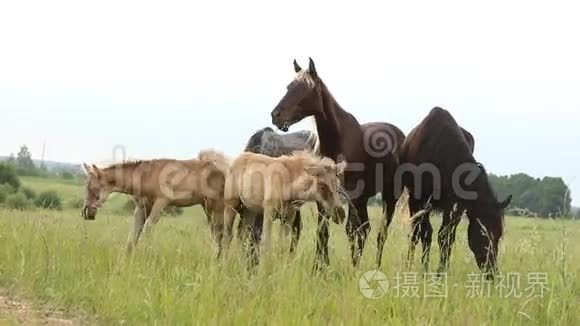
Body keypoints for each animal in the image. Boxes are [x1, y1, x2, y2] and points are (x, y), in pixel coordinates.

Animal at [81, 150, 227, 252]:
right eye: (86, 186)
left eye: (93, 188)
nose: (87, 213)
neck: (146, 175)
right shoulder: (142, 206)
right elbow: (133, 235)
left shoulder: (161, 202)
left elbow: (147, 229)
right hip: (207, 207)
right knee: (216, 232)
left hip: (217, 206)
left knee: (220, 233)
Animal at [270, 58, 404, 268]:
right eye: (289, 86)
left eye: (307, 89)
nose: (276, 115)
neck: (338, 143)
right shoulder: (323, 196)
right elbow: (323, 231)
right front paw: (319, 268)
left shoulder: (351, 195)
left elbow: (351, 230)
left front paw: (349, 267)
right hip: (364, 199)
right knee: (366, 229)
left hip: (389, 197)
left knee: (380, 232)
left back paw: (374, 265)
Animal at [402, 107, 510, 278]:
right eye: (484, 234)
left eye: (499, 235)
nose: (491, 272)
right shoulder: (419, 199)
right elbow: (423, 233)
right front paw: (422, 271)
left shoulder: (456, 205)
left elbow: (446, 237)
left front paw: (441, 273)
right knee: (417, 233)